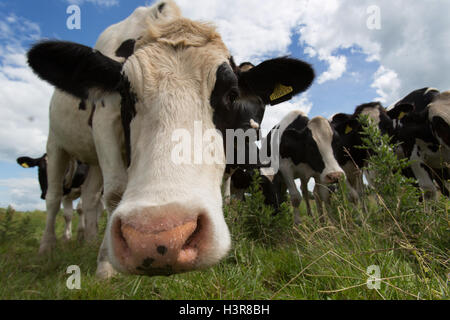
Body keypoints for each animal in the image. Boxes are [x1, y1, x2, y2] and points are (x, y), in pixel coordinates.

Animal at [28, 0, 314, 278]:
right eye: (125, 93)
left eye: (232, 94)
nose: (157, 238)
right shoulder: (104, 120)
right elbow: (115, 191)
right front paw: (105, 267)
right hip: (56, 143)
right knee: (55, 197)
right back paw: (46, 247)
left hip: (92, 161)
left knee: (88, 199)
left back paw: (87, 241)